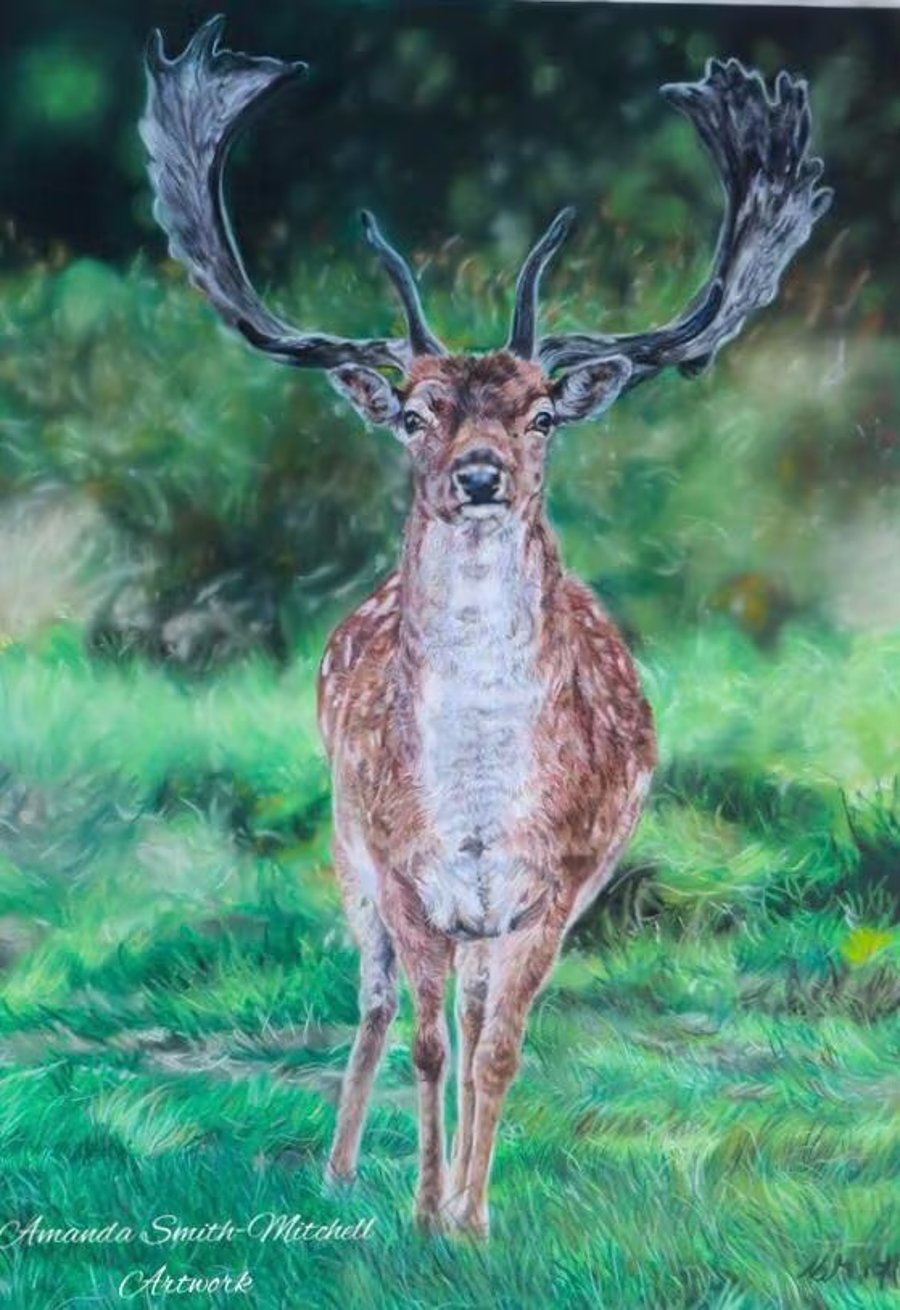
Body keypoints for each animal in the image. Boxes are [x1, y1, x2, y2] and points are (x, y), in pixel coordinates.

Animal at [141, 18, 831, 1237]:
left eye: (543, 411)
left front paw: (473, 1217)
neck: (471, 795)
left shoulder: (552, 889)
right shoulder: (406, 870)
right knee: (375, 1000)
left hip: (486, 910)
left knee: (469, 1019)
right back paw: (337, 1172)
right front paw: (421, 1215)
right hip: (346, 848)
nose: (478, 475)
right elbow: (421, 1040)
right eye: (416, 412)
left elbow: (499, 1049)